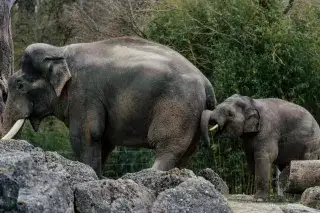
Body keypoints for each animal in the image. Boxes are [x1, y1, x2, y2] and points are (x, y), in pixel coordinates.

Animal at [1, 36, 216, 176]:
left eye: (20, 85)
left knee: (168, 146)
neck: (60, 51)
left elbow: (85, 136)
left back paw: (146, 175)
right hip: (192, 114)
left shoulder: (83, 93)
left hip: (178, 105)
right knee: (187, 151)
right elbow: (102, 141)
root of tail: (206, 83)